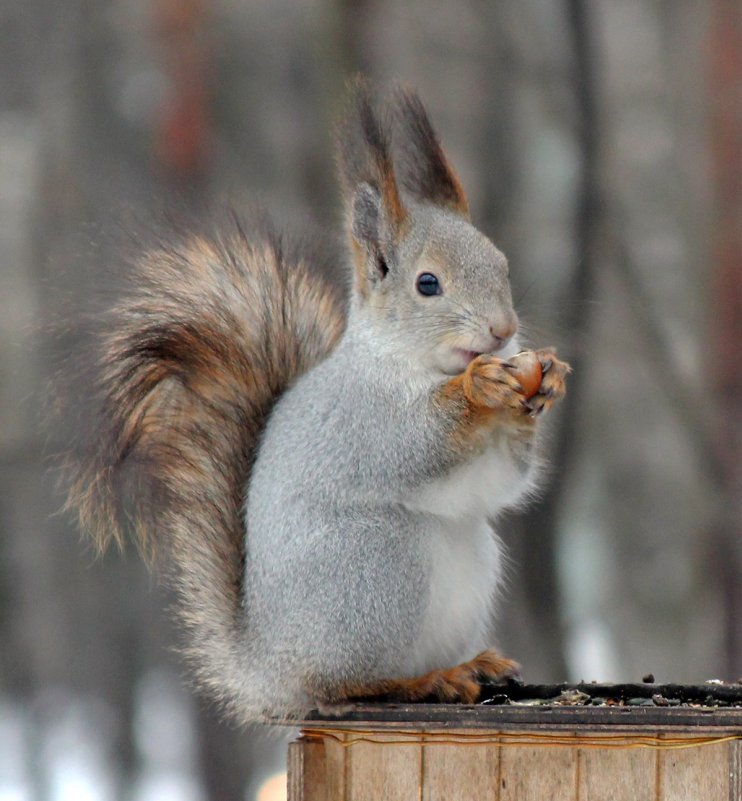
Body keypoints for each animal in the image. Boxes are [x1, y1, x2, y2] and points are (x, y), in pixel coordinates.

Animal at [65, 78, 576, 720]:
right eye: (427, 283)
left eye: (503, 266)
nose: (503, 331)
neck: (412, 363)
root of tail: (271, 668)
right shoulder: (361, 417)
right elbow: (416, 444)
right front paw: (478, 389)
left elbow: (500, 481)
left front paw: (545, 380)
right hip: (379, 569)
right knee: (344, 685)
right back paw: (426, 681)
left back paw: (471, 664)